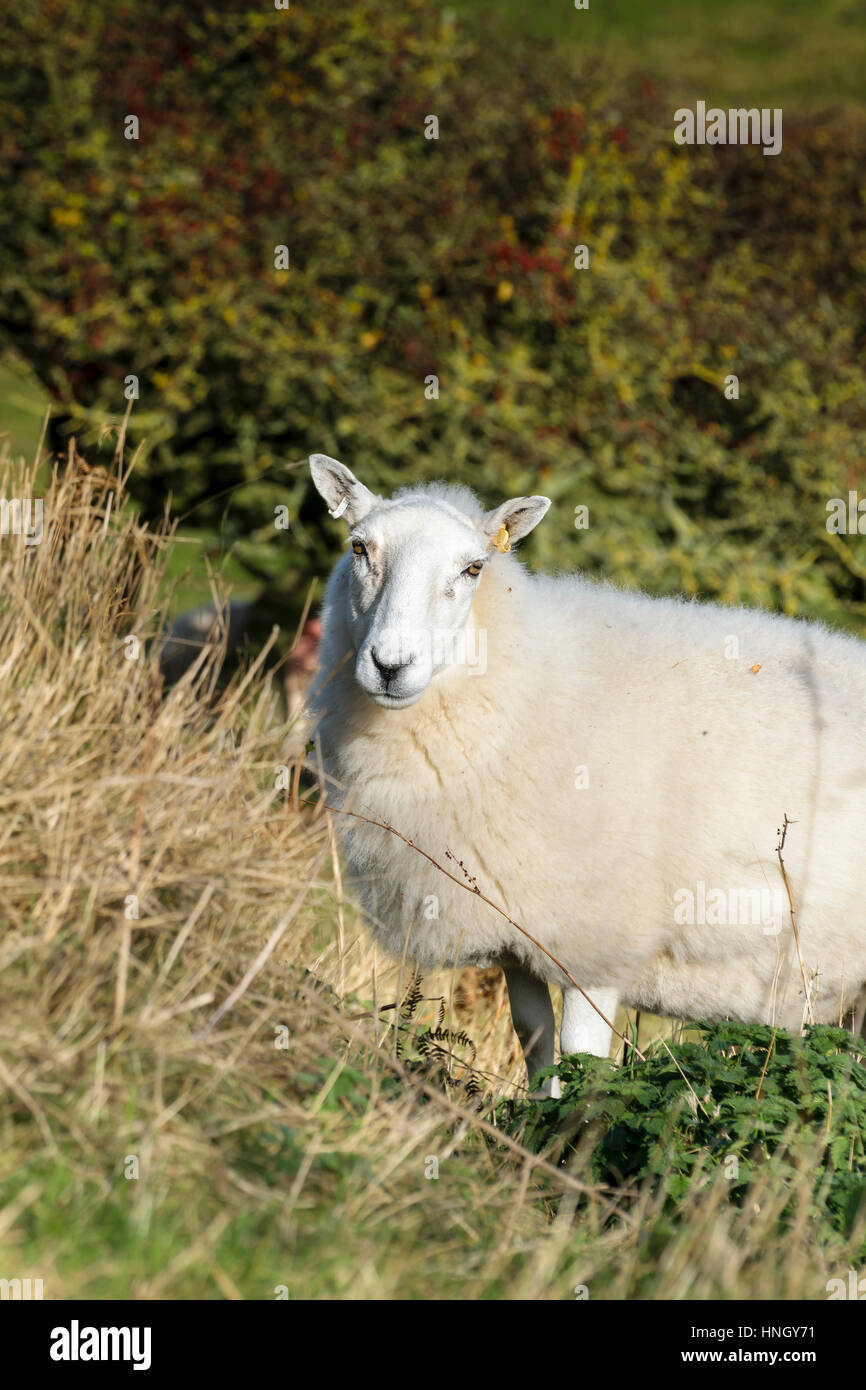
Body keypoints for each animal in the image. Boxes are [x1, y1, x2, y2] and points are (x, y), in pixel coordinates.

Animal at [308, 455, 866, 1095]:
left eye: (474, 568)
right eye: (358, 548)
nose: (390, 666)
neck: (524, 683)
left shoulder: (595, 935)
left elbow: (582, 1061)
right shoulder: (515, 930)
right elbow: (535, 1043)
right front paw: (531, 1120)